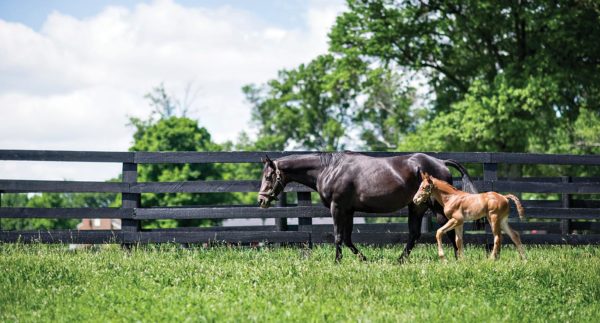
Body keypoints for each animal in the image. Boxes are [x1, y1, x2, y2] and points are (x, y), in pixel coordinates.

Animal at [258, 153, 478, 264]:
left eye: (268, 177)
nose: (262, 200)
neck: (329, 168)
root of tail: (440, 162)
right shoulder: (348, 210)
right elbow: (347, 238)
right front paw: (363, 259)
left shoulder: (337, 207)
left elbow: (338, 236)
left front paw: (337, 261)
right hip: (417, 207)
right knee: (415, 234)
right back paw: (400, 260)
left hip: (434, 207)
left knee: (447, 230)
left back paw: (456, 259)